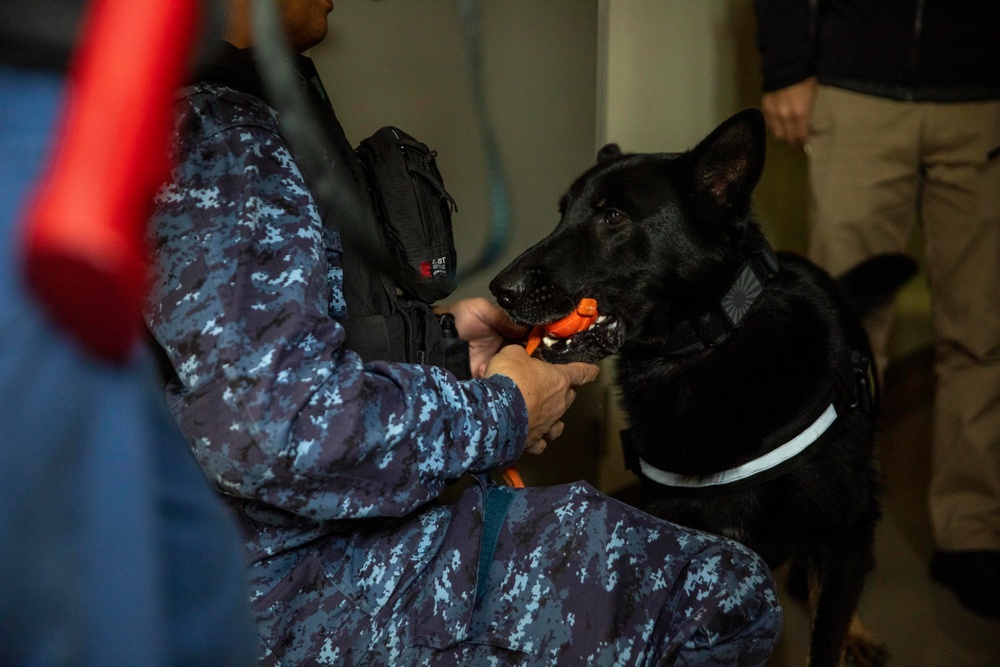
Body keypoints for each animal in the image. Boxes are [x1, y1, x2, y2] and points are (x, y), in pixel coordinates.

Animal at [488, 111, 916, 667]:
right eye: (562, 214)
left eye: (613, 216)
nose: (500, 291)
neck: (706, 343)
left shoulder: (840, 538)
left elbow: (826, 637)